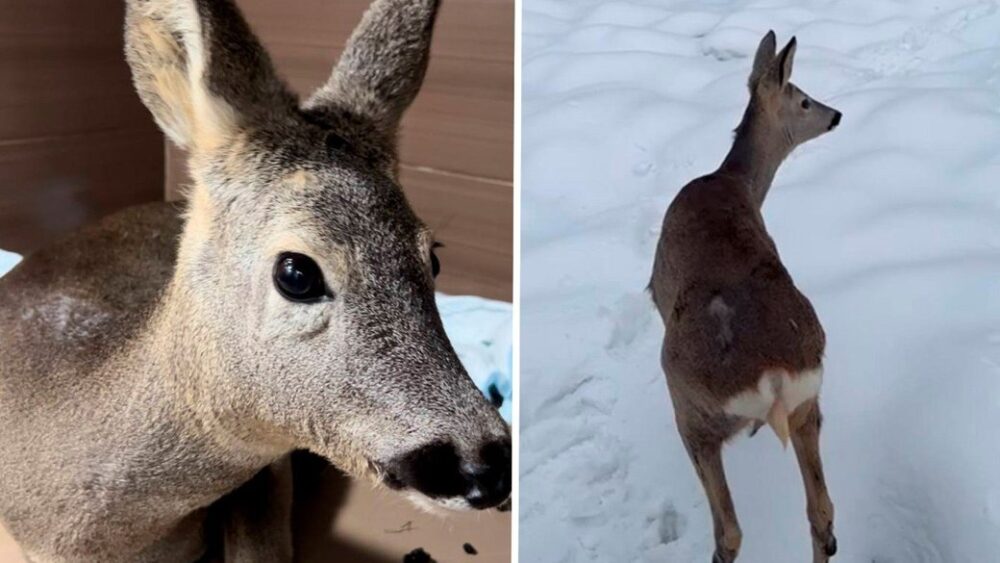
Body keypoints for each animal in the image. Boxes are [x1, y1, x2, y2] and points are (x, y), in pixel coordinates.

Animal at [652, 32, 840, 563]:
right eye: (805, 99)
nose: (836, 114)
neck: (734, 180)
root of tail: (772, 375)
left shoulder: (655, 287)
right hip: (808, 402)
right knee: (822, 511)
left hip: (692, 413)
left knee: (729, 531)